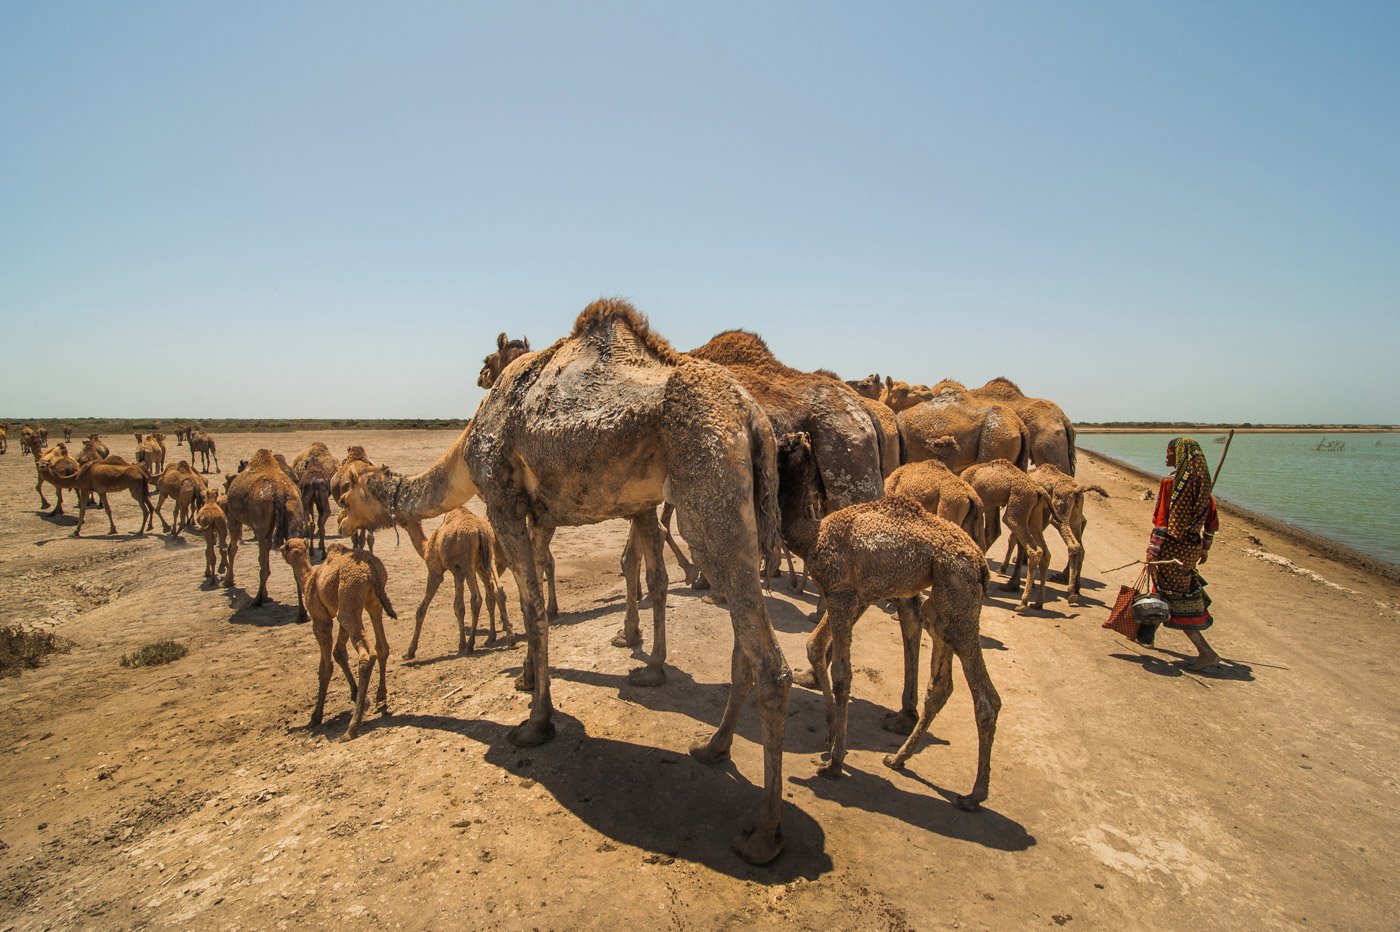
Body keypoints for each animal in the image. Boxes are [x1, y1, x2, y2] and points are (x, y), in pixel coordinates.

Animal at [224, 447, 306, 612]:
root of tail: (279, 491)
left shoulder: (232, 517)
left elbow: (232, 548)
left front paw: (228, 580)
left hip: (260, 515)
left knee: (263, 561)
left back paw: (257, 600)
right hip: (294, 508)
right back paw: (301, 612)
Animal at [278, 534, 397, 738]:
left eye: (285, 546)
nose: (278, 548)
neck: (308, 579)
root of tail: (371, 569)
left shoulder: (320, 619)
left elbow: (325, 667)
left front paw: (315, 716)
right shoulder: (341, 613)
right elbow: (339, 652)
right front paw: (358, 697)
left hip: (350, 599)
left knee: (367, 654)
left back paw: (352, 728)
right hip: (370, 601)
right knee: (381, 646)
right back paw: (380, 694)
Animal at [464, 299, 795, 862]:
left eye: (490, 357)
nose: (476, 375)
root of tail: (754, 420)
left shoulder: (511, 499)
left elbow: (536, 599)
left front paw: (535, 717)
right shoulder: (590, 505)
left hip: (708, 497)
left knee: (769, 662)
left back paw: (765, 834)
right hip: (733, 510)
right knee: (743, 643)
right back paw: (713, 747)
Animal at [800, 492, 996, 806]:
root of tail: (981, 565)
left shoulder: (843, 591)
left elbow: (840, 671)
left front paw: (834, 760)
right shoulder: (854, 594)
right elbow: (815, 644)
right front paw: (831, 741)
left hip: (958, 596)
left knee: (987, 700)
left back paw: (974, 795)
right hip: (944, 602)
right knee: (940, 683)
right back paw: (897, 758)